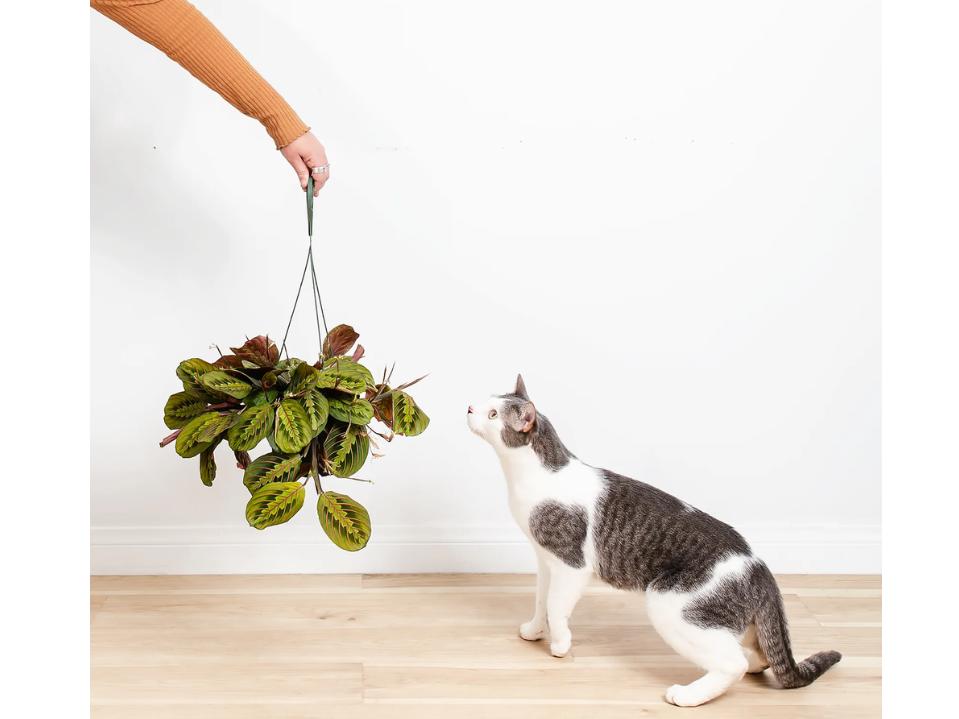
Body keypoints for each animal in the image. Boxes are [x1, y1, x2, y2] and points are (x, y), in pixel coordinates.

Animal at [468, 376, 844, 708]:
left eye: (493, 414)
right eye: (486, 402)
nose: (469, 407)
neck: (535, 476)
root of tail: (758, 566)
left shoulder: (571, 565)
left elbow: (557, 607)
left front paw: (560, 644)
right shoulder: (545, 560)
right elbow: (541, 601)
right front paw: (534, 630)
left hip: (671, 605)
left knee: (732, 663)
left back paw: (688, 696)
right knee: (760, 654)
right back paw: (751, 663)